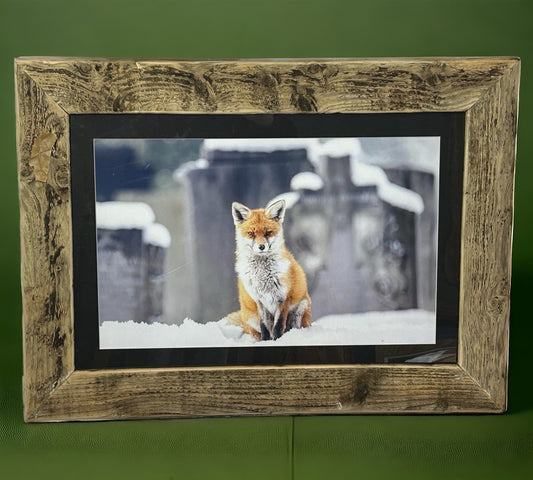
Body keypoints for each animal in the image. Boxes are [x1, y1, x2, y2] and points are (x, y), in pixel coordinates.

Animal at [227, 199, 310, 342]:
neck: (263, 275)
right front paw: (265, 342)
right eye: (251, 233)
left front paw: (277, 341)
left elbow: (278, 326)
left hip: (301, 308)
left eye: (268, 232)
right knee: (254, 331)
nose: (261, 247)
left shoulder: (283, 298)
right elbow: (265, 326)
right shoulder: (260, 301)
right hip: (250, 318)